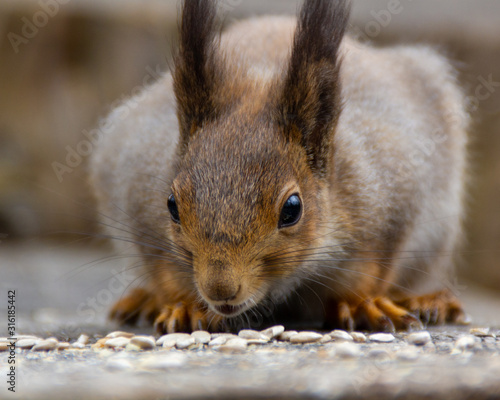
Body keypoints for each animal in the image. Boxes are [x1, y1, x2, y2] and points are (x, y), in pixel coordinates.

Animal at [89, 0, 468, 332]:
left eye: (292, 209)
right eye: (171, 206)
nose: (220, 290)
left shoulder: (389, 199)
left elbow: (369, 269)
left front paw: (359, 303)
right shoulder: (139, 200)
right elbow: (163, 268)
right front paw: (185, 305)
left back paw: (430, 301)